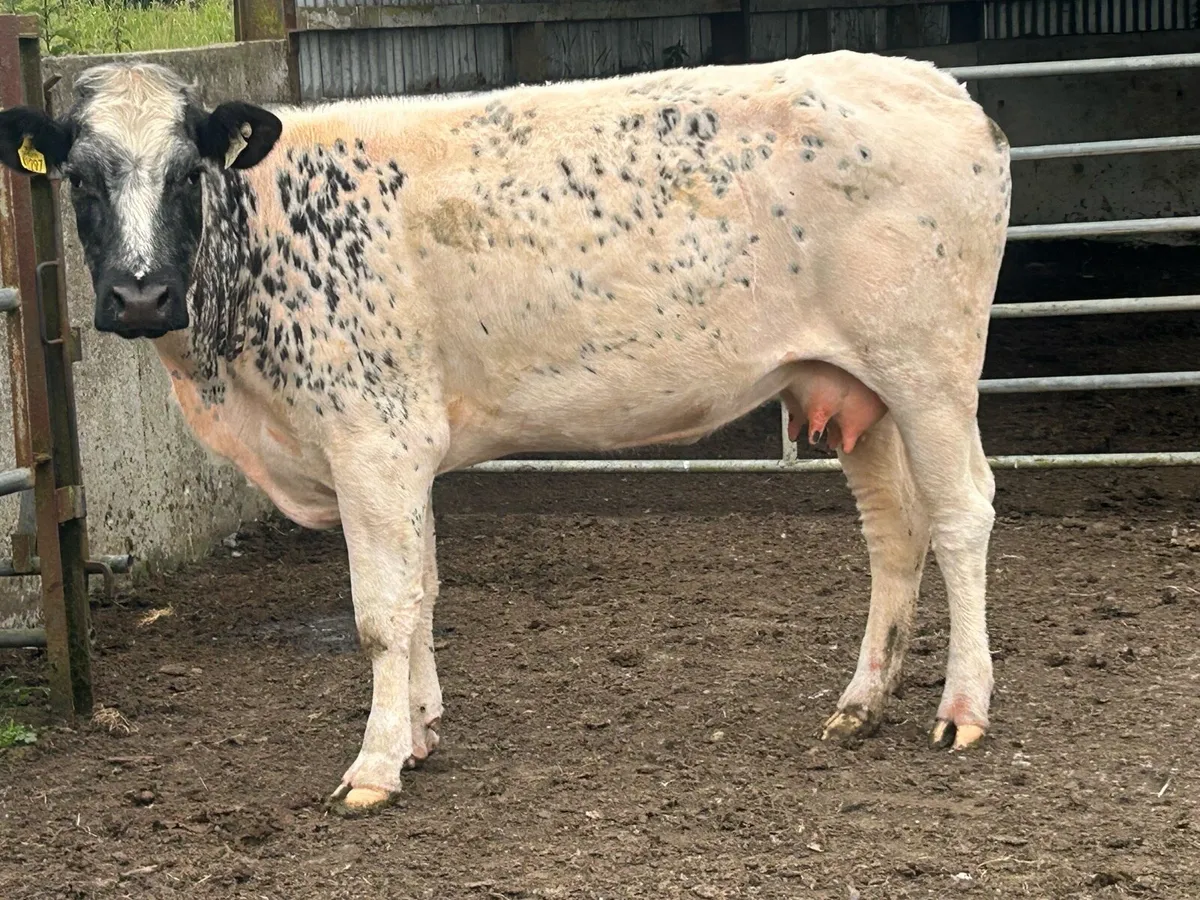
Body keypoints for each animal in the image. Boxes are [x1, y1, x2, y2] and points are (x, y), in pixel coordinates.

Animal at [0, 50, 1010, 812]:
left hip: (929, 369)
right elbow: (424, 593)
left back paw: (963, 708)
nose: (138, 294)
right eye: (81, 180)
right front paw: (418, 734)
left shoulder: (372, 440)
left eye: (188, 172)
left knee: (962, 516)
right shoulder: (404, 453)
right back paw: (861, 703)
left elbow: (382, 612)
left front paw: (373, 766)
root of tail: (944, 89)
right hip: (852, 387)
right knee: (894, 532)